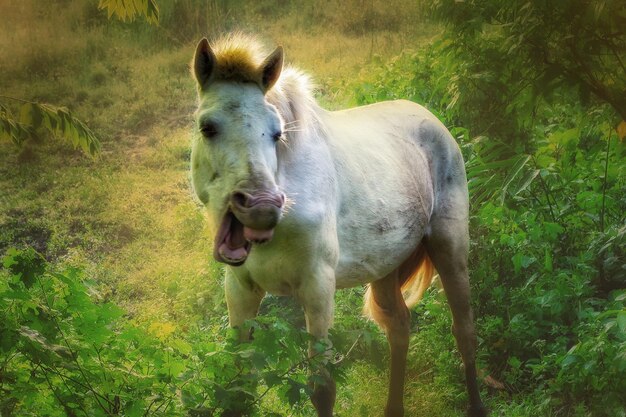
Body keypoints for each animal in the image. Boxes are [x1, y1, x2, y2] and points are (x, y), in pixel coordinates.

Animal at [188, 33, 486, 416]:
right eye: (207, 127)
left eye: (276, 133)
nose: (261, 206)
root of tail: (432, 120)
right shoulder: (241, 290)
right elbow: (238, 383)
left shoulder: (317, 288)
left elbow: (322, 388)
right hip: (385, 269)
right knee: (399, 327)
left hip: (449, 249)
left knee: (464, 332)